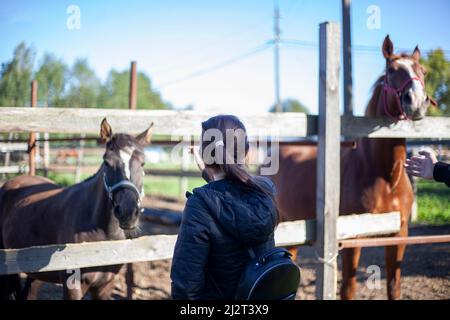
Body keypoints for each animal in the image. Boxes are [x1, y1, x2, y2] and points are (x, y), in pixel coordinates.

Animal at [272, 35, 434, 300]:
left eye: (423, 71)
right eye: (391, 70)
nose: (418, 101)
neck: (386, 177)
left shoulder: (399, 236)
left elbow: (394, 286)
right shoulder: (351, 239)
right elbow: (348, 288)